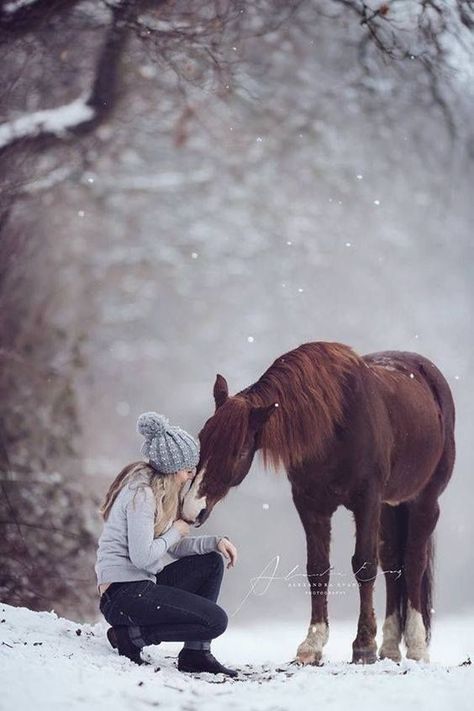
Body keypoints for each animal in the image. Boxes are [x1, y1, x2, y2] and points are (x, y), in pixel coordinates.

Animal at [181, 344, 456, 668]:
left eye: (238, 451)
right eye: (202, 438)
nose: (191, 508)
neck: (334, 424)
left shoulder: (367, 501)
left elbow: (364, 565)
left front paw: (363, 645)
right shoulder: (310, 505)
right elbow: (317, 568)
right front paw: (312, 645)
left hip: (424, 501)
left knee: (413, 563)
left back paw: (415, 646)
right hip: (391, 507)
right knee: (392, 564)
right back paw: (389, 647)